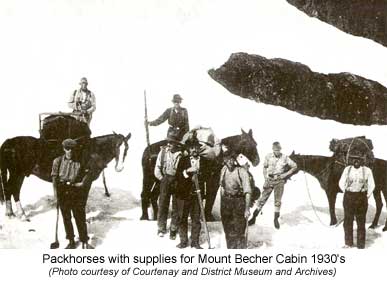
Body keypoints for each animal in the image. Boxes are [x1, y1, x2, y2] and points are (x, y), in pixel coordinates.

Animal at [0, 132, 132, 219]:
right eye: (116, 147)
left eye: (126, 149)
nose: (120, 167)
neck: (92, 151)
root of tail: (10, 141)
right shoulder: (86, 181)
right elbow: (82, 200)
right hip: (17, 173)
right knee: (12, 189)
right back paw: (19, 214)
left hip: (19, 174)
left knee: (11, 190)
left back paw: (12, 213)